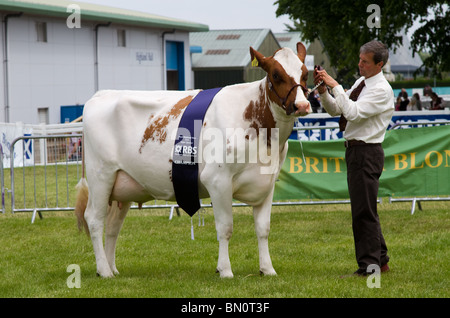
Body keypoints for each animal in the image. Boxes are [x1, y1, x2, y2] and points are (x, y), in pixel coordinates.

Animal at [75, 42, 312, 278]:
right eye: (276, 74)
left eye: (305, 73)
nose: (302, 105)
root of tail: (101, 94)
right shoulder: (217, 179)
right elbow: (225, 228)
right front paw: (225, 270)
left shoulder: (267, 182)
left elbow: (263, 228)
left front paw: (267, 269)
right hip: (101, 176)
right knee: (94, 220)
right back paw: (104, 270)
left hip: (121, 186)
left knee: (113, 226)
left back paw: (112, 268)